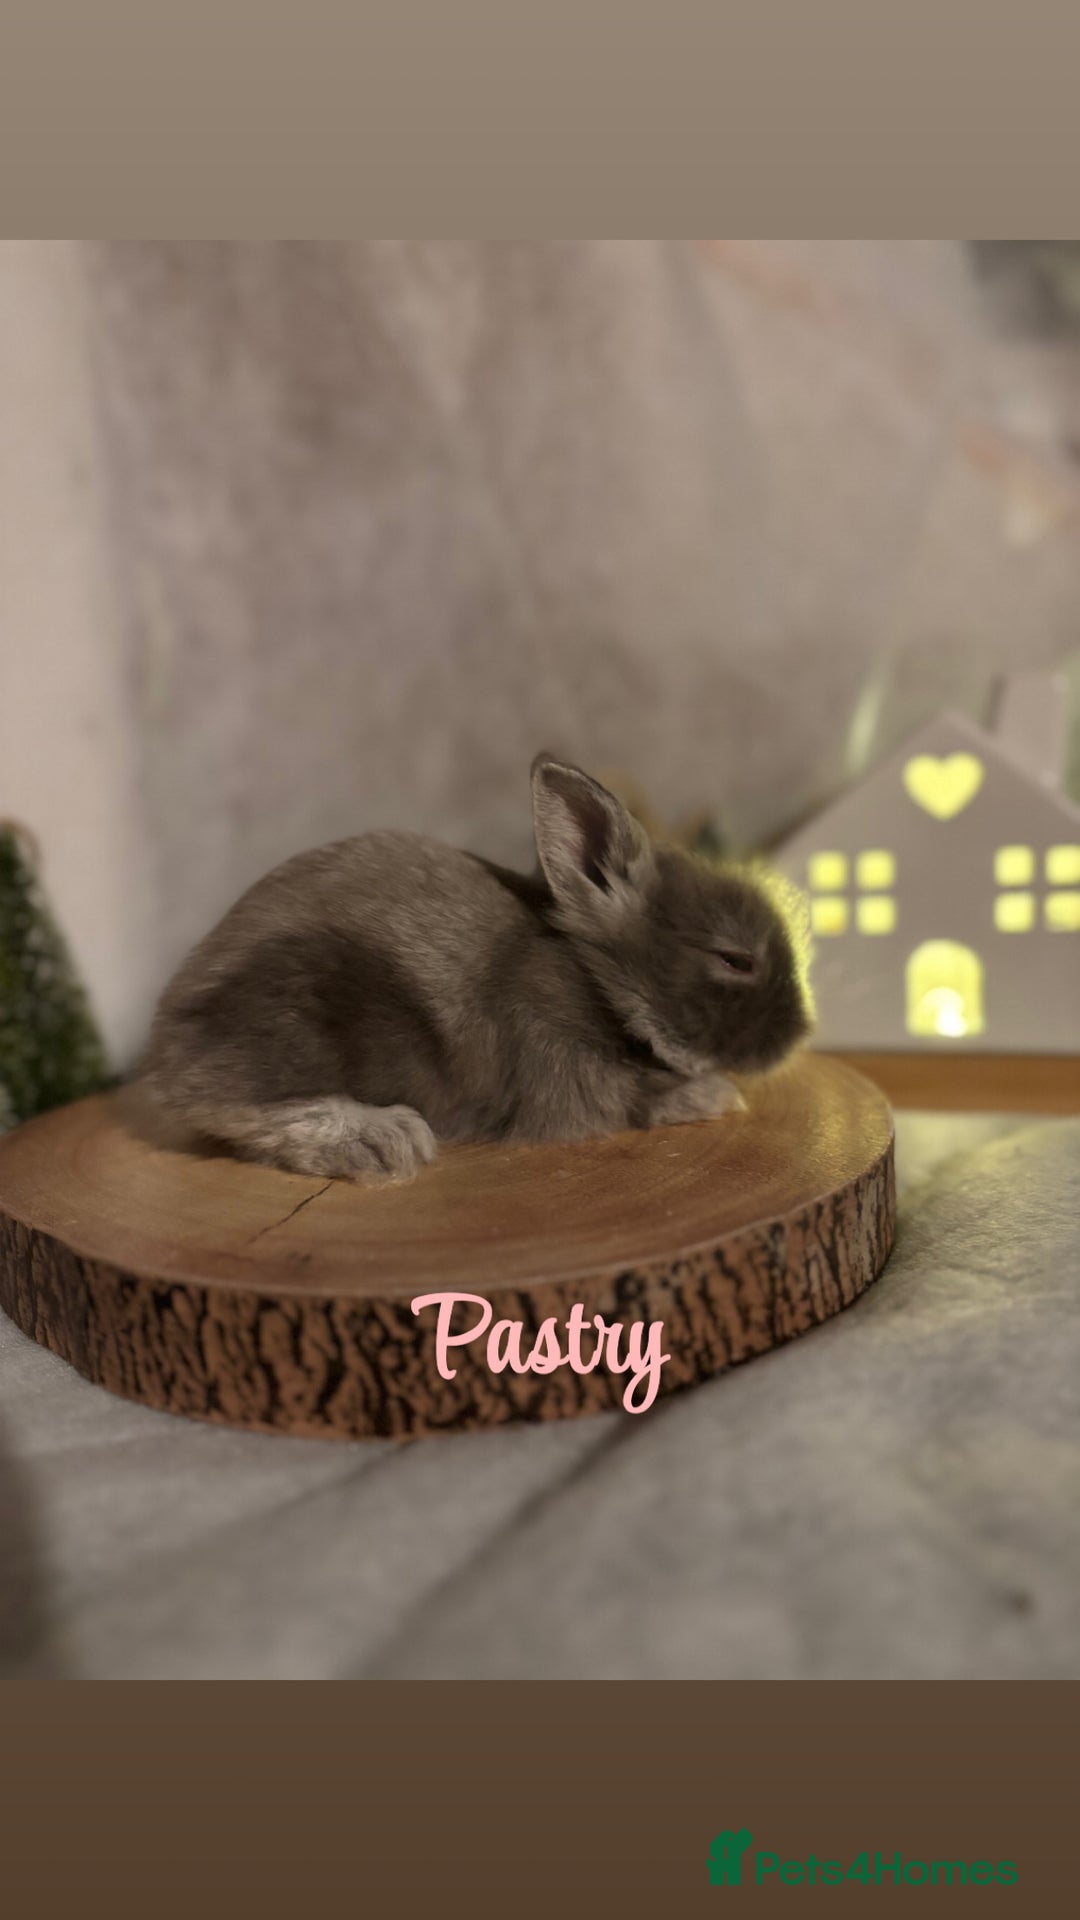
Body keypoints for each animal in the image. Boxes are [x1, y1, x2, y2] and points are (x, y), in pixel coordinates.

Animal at [135, 755, 814, 1181]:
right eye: (735, 959)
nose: (800, 1036)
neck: (596, 981)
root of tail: (162, 1045)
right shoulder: (566, 1077)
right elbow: (637, 1102)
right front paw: (715, 1095)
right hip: (293, 1017)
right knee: (229, 1104)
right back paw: (384, 1141)